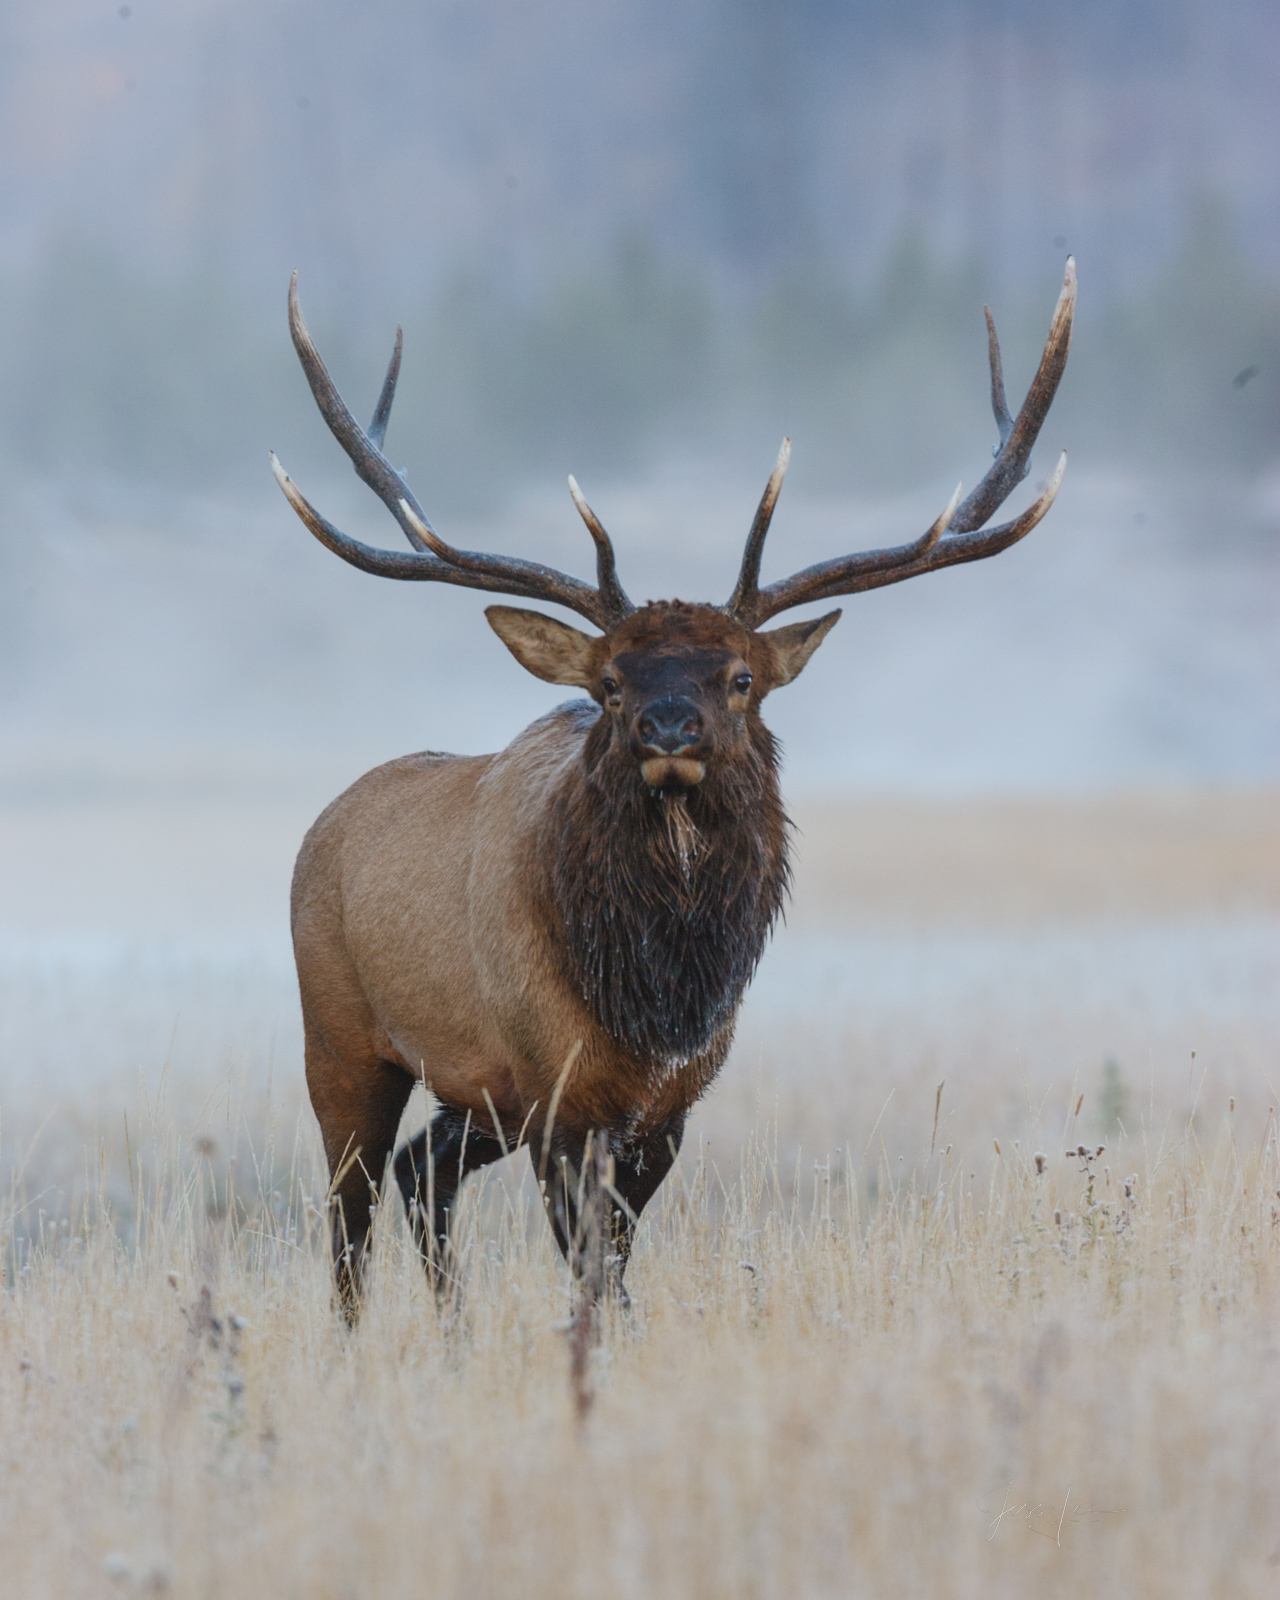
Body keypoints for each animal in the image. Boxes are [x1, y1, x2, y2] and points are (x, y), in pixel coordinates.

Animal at [275, 262, 1075, 1312]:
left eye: (739, 678)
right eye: (610, 682)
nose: (667, 727)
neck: (658, 995)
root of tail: (323, 826)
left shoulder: (666, 1104)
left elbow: (615, 1269)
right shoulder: (559, 1095)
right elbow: (587, 1274)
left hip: (475, 1097)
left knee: (421, 1175)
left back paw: (454, 1333)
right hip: (342, 1037)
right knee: (349, 1212)